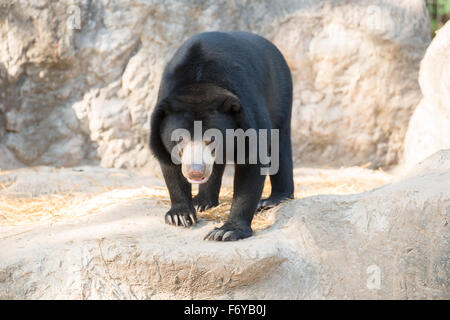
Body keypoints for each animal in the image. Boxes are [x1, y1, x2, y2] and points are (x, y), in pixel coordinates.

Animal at [149, 31, 294, 241]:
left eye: (212, 139)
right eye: (180, 139)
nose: (195, 172)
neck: (200, 81)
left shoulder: (247, 108)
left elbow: (253, 162)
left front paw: (226, 231)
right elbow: (170, 166)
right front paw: (180, 215)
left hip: (280, 92)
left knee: (280, 142)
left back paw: (273, 200)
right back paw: (202, 201)